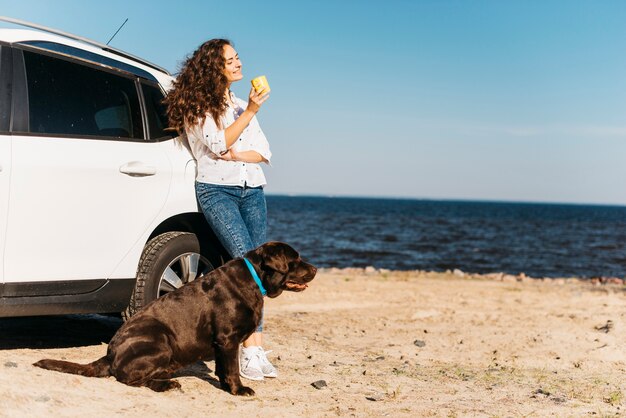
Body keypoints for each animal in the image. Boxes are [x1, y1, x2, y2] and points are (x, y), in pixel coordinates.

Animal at [33, 242, 316, 396]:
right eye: (296, 259)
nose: (314, 268)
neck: (254, 279)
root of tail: (110, 354)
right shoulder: (227, 339)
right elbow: (232, 369)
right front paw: (238, 390)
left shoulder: (223, 343)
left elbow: (223, 369)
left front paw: (226, 387)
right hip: (161, 339)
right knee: (129, 378)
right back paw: (167, 384)